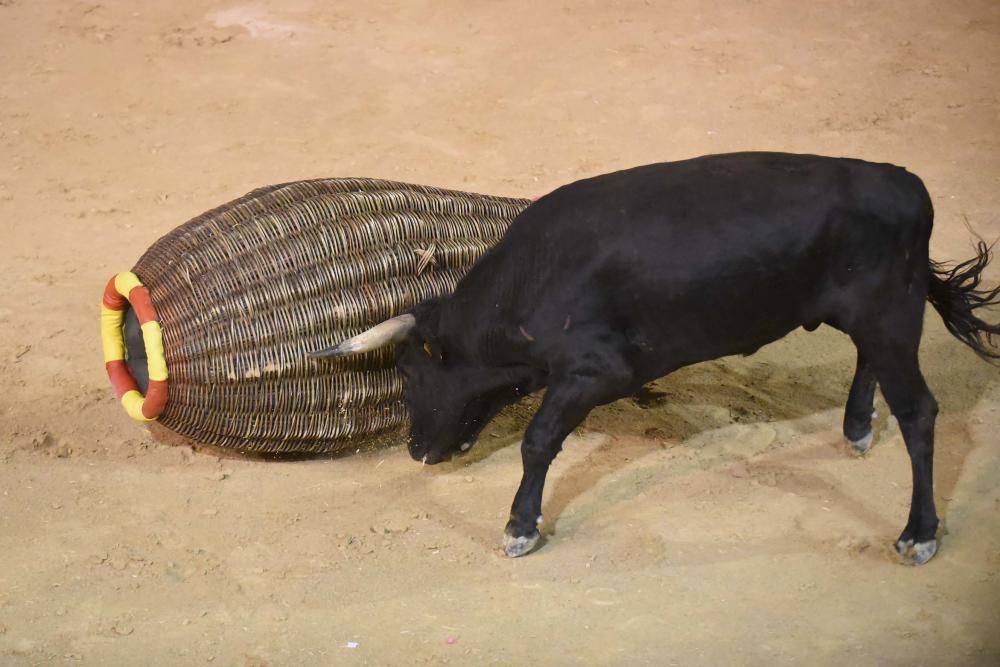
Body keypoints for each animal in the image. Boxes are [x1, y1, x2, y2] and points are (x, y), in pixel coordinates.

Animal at [312, 154, 1000, 568]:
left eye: (409, 373)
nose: (416, 451)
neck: (531, 282)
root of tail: (904, 182)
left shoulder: (594, 372)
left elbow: (538, 440)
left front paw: (520, 526)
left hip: (889, 314)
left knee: (920, 410)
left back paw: (919, 533)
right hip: (873, 318)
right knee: (871, 364)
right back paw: (856, 428)